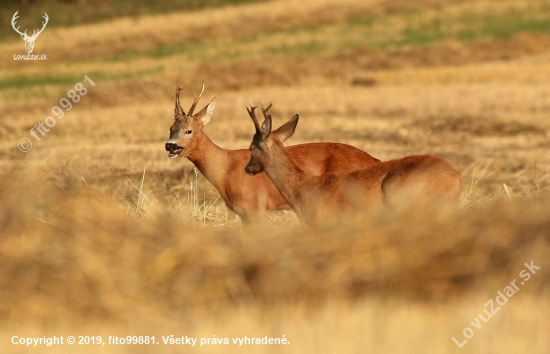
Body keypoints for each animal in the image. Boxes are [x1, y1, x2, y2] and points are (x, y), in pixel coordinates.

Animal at [164, 83, 380, 227]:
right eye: (171, 128)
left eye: (189, 130)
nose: (170, 146)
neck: (226, 169)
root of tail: (374, 159)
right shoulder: (243, 214)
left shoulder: (256, 209)